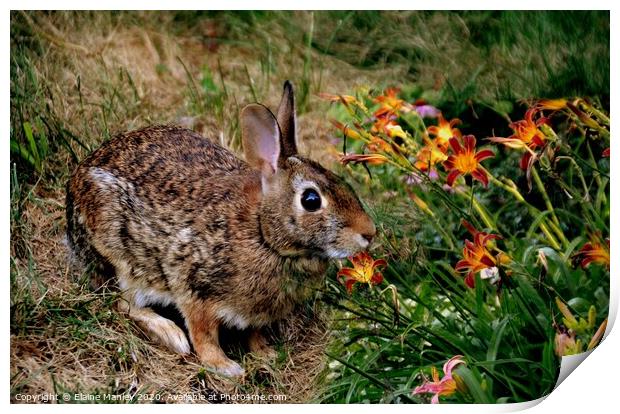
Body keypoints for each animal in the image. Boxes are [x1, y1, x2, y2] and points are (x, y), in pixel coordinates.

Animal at [66, 80, 378, 376]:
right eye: (311, 200)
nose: (369, 233)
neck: (264, 235)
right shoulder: (193, 286)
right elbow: (203, 334)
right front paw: (224, 366)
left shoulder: (254, 312)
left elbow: (253, 333)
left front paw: (266, 354)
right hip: (120, 256)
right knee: (122, 302)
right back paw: (170, 333)